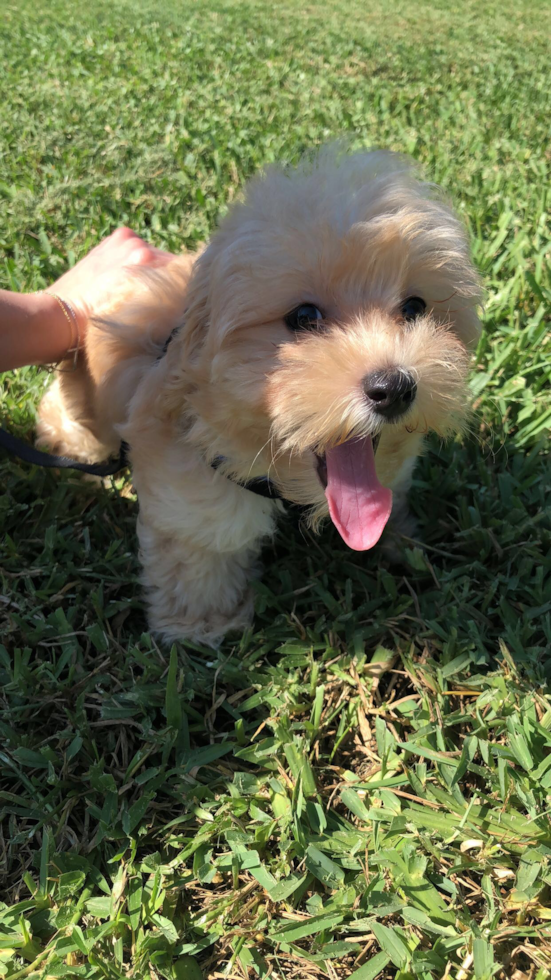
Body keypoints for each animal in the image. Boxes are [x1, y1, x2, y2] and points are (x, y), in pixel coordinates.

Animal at [36, 147, 480, 644]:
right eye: (304, 317)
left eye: (415, 308)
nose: (394, 388)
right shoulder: (191, 483)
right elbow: (201, 546)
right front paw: (202, 628)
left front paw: (401, 538)